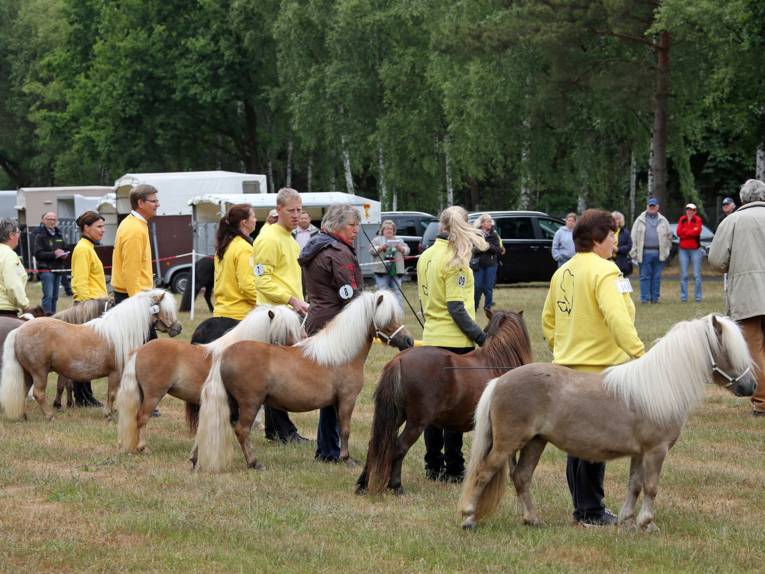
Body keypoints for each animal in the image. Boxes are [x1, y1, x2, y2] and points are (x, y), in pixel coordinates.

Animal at [0, 289, 182, 421]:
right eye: (166, 310)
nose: (178, 328)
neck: (119, 331)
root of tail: (19, 330)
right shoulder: (115, 373)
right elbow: (112, 394)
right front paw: (108, 415)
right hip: (39, 372)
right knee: (38, 393)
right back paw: (50, 416)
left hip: (27, 373)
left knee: (23, 391)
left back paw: (23, 416)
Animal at [116, 305, 304, 453]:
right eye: (284, 330)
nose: (297, 352)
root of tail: (139, 351)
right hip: (153, 395)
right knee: (141, 418)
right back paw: (143, 447)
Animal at [193, 290, 414, 473]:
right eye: (388, 319)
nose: (409, 341)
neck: (341, 354)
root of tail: (224, 354)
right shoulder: (347, 399)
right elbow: (345, 430)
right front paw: (347, 459)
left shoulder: (336, 403)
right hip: (250, 403)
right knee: (241, 431)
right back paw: (254, 463)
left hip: (229, 402)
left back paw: (196, 460)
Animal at [356, 310, 532, 496]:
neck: (497, 362)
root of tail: (399, 360)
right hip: (416, 422)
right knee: (399, 447)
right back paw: (396, 486)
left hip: (396, 416)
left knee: (375, 445)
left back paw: (362, 484)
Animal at [459, 314, 756, 533]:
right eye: (728, 351)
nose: (750, 386)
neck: (659, 385)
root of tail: (499, 381)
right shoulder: (656, 451)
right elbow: (651, 487)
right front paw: (648, 523)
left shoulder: (640, 454)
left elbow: (634, 485)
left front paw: (627, 521)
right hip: (507, 444)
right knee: (483, 474)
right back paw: (469, 518)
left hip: (535, 442)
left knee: (521, 477)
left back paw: (532, 519)